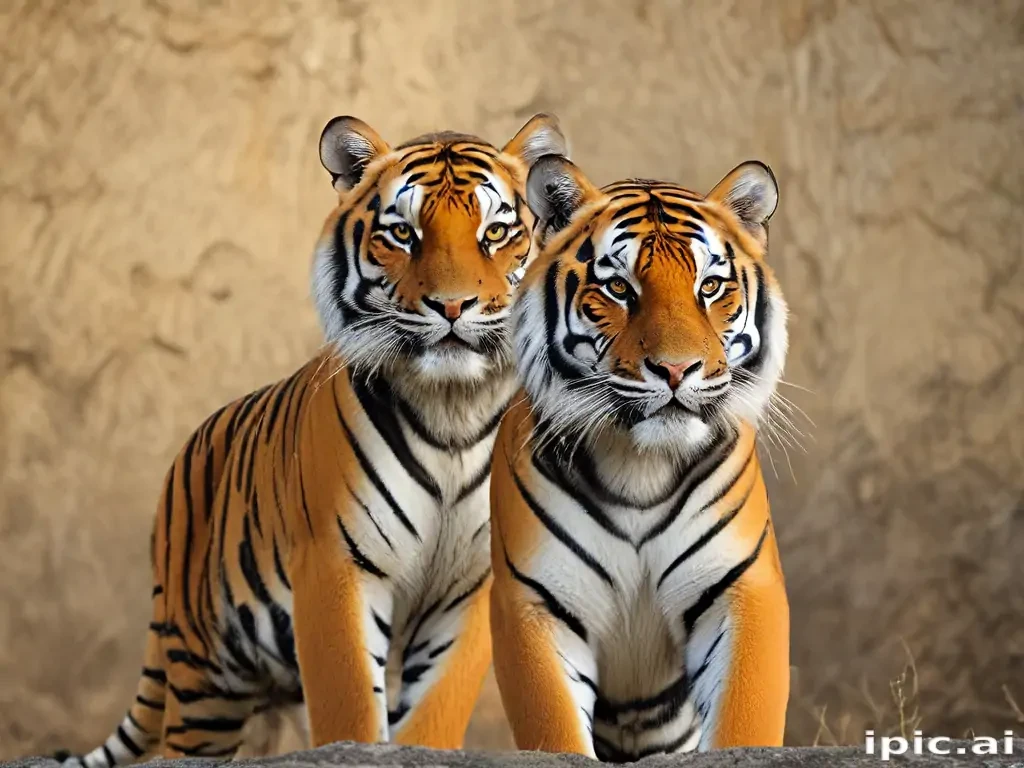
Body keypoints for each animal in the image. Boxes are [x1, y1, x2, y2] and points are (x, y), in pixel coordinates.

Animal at [58, 112, 567, 767]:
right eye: (402, 233)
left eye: (497, 231)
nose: (452, 305)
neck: (453, 408)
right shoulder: (336, 566)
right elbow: (349, 706)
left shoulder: (472, 587)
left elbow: (434, 712)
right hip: (204, 674)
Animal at [488, 154, 790, 761]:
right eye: (618, 288)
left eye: (710, 286)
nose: (677, 370)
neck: (640, 465)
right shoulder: (535, 603)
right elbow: (554, 730)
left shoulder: (742, 586)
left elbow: (746, 719)